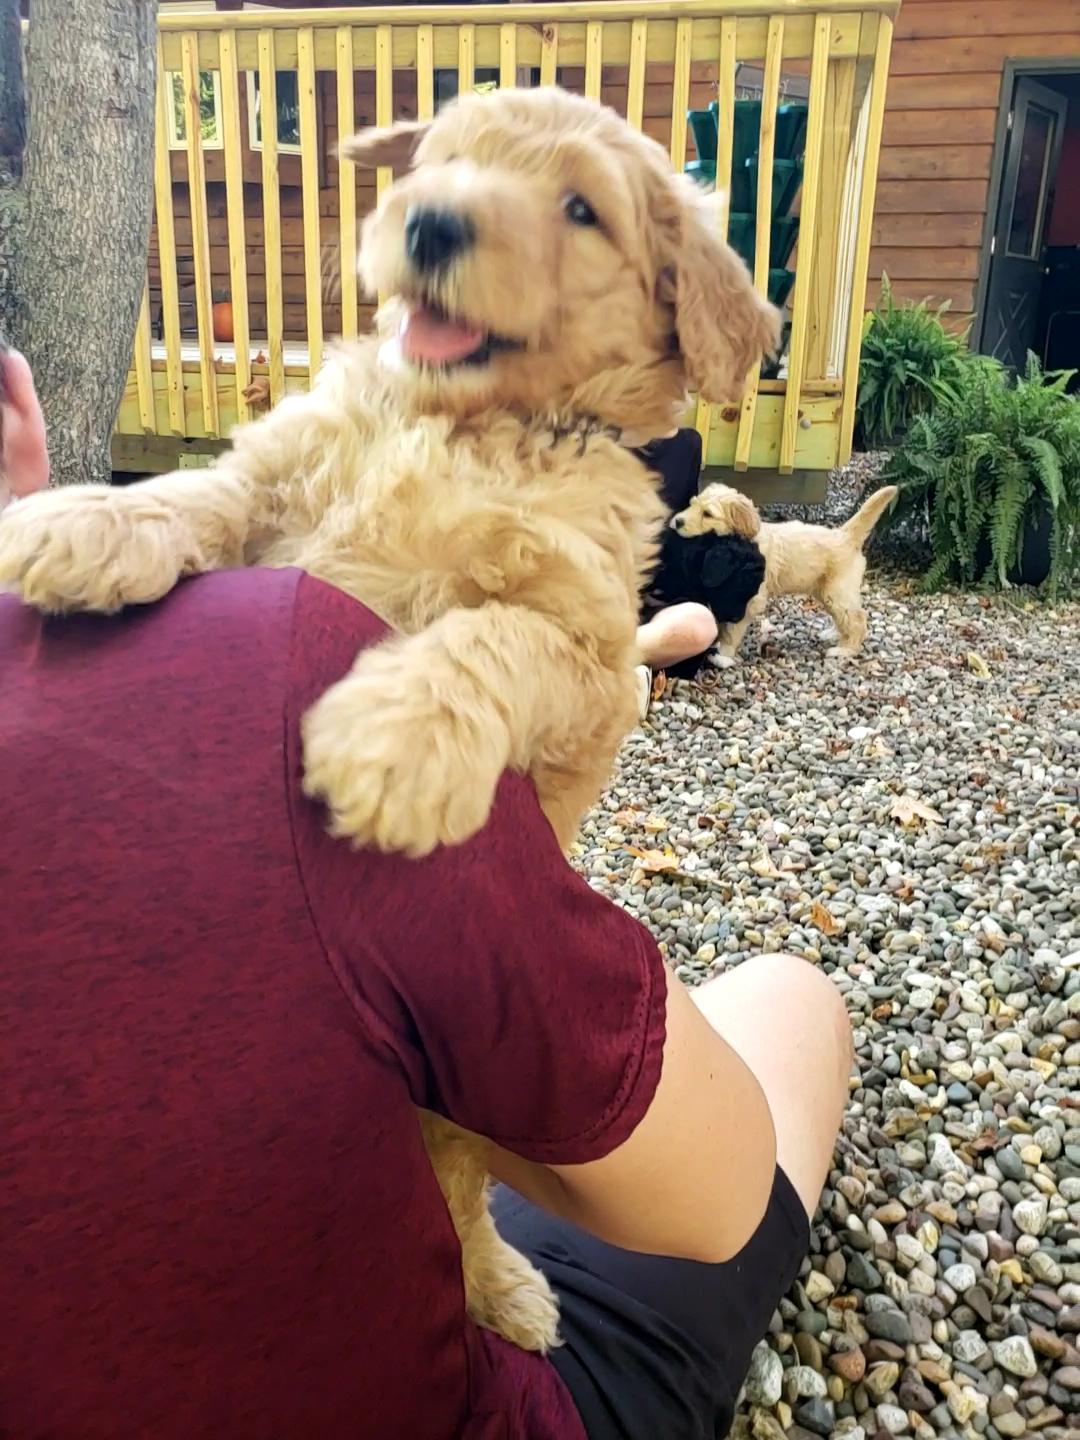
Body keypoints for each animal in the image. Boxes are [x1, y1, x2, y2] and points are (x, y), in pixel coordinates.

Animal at [672, 482, 898, 663]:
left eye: (708, 514)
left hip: (838, 590)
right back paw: (834, 634)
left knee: (857, 619)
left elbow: (731, 628)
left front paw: (724, 655)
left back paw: (845, 650)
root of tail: (845, 535)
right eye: (692, 504)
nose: (677, 521)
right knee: (844, 616)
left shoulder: (748, 598)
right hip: (826, 591)